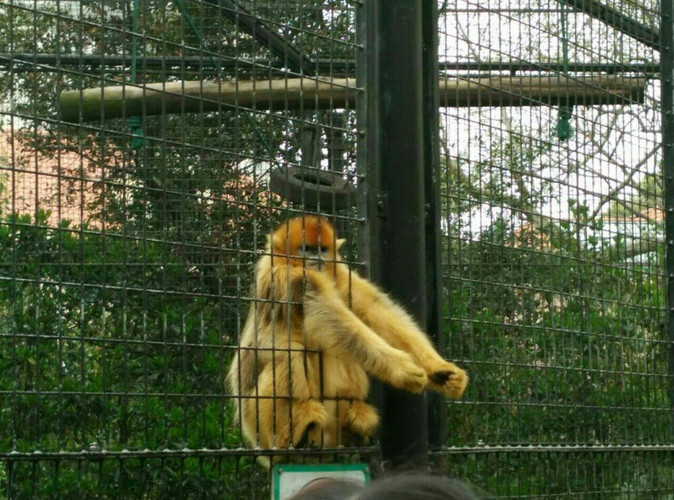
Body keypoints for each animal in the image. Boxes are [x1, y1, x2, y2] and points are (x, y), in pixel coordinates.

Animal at [227, 217, 468, 462]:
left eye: (322, 250)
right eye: (307, 249)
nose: (316, 259)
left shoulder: (343, 276)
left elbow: (378, 312)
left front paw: (438, 369)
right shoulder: (285, 275)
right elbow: (328, 313)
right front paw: (401, 369)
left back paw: (355, 427)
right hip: (257, 421)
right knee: (289, 350)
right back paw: (295, 436)